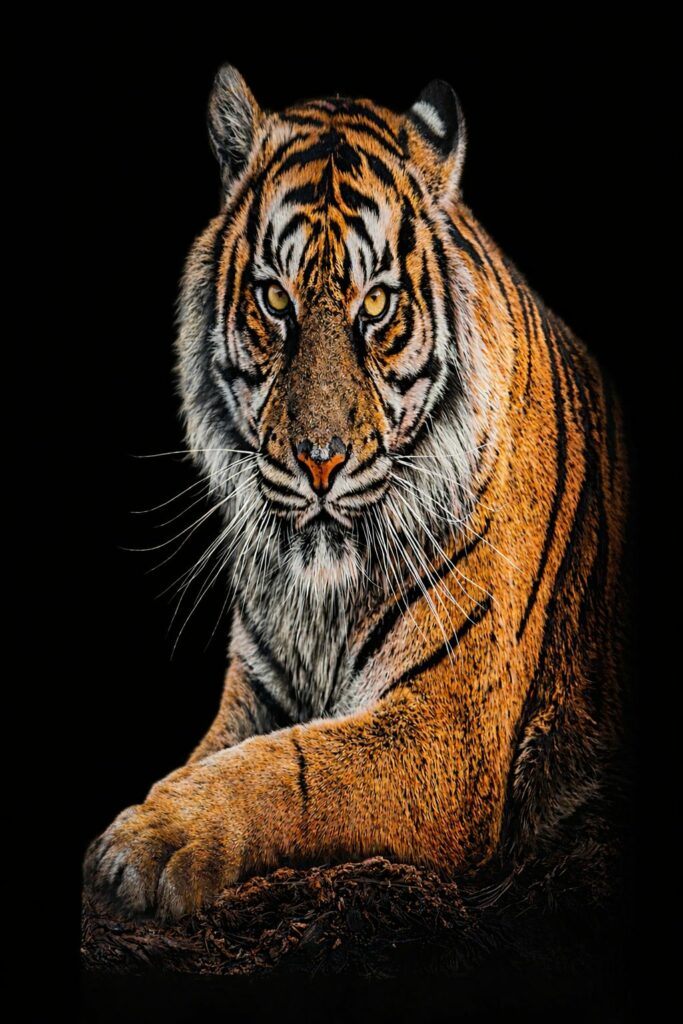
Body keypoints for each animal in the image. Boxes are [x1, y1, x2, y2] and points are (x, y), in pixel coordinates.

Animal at [84, 65, 629, 922]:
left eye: (375, 305)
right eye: (275, 300)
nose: (319, 462)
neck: (320, 596)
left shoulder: (445, 729)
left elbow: (291, 770)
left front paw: (151, 840)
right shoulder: (255, 691)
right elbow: (224, 753)